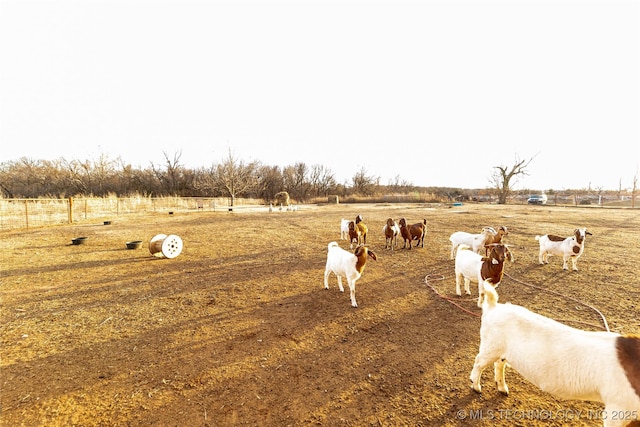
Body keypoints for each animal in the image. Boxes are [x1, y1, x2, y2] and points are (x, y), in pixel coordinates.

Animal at [470, 282, 640, 426]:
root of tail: (494, 307)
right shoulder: (618, 407)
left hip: (501, 349)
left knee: (499, 364)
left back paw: (502, 388)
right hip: (491, 345)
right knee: (479, 362)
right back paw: (476, 386)